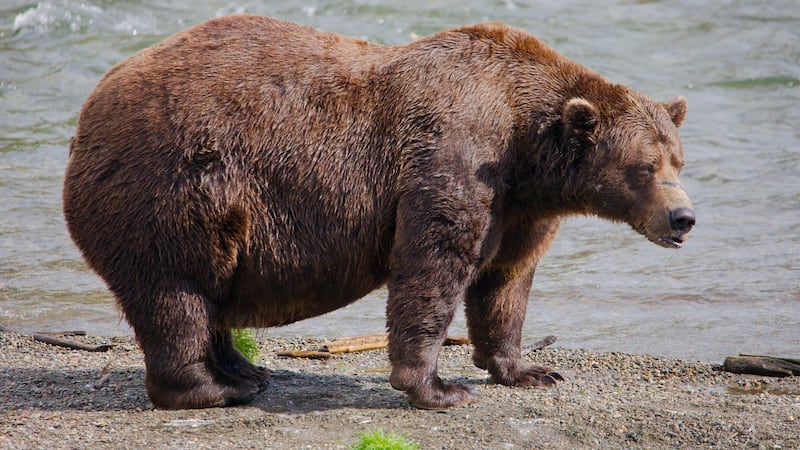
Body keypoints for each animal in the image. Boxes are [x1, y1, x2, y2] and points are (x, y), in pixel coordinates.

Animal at [63, 14, 695, 410]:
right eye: (644, 167)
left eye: (678, 160)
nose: (683, 218)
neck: (526, 148)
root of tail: (88, 112)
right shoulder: (454, 156)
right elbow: (433, 264)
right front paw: (438, 388)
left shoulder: (520, 208)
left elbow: (506, 282)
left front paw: (529, 370)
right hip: (174, 187)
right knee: (176, 291)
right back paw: (213, 388)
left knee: (209, 292)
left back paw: (245, 370)